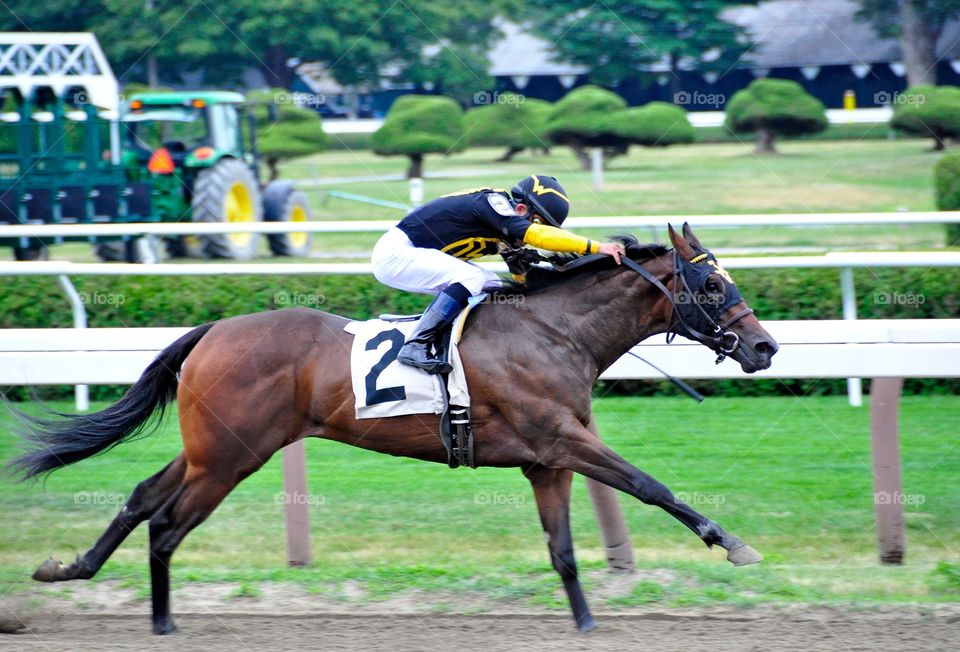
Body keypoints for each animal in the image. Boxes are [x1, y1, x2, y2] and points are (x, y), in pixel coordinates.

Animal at [7, 224, 780, 632]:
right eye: (712, 285)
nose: (766, 347)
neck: (553, 330)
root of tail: (212, 332)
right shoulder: (564, 440)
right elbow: (651, 486)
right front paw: (733, 543)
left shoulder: (547, 459)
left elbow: (562, 549)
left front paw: (587, 623)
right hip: (230, 457)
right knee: (168, 523)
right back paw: (161, 620)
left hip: (210, 448)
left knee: (142, 496)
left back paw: (71, 568)